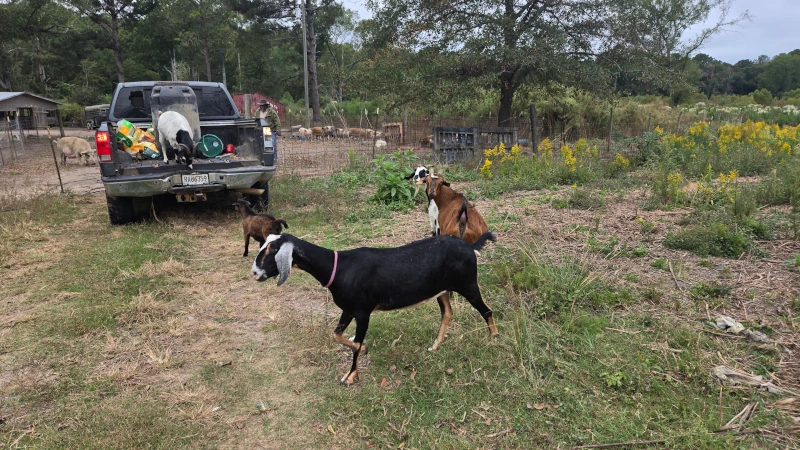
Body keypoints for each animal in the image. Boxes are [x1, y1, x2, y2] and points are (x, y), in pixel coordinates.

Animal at [251, 232, 498, 385]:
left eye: (271, 251)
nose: (254, 273)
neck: (338, 268)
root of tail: (470, 247)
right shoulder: (348, 309)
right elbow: (336, 335)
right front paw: (361, 351)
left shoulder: (363, 313)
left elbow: (356, 345)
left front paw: (350, 376)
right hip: (443, 290)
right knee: (447, 313)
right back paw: (435, 346)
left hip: (468, 284)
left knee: (487, 310)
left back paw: (494, 339)